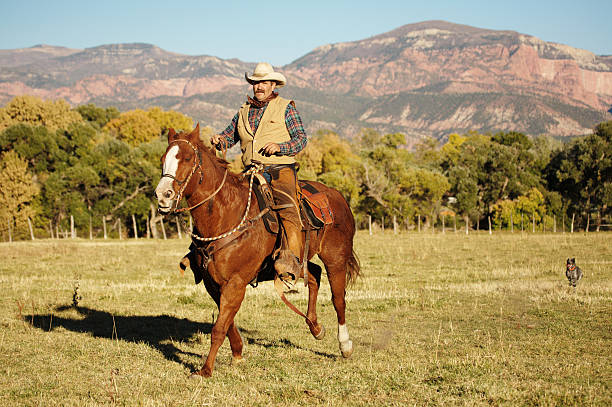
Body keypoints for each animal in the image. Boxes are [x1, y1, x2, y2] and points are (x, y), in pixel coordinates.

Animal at [155, 125, 360, 380]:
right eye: (163, 159)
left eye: (187, 159)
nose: (162, 195)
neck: (226, 215)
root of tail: (337, 196)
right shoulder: (213, 282)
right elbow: (227, 322)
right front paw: (237, 353)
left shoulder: (235, 283)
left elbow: (219, 328)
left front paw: (205, 370)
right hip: (300, 260)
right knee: (313, 275)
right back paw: (315, 327)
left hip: (336, 258)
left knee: (338, 298)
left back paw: (345, 345)